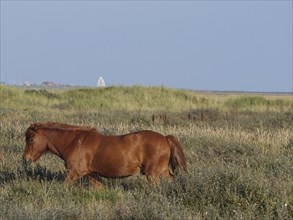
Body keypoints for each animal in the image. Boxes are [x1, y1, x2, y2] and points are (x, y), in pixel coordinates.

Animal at [23, 122, 187, 189]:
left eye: (30, 139)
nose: (25, 159)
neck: (75, 141)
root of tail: (165, 138)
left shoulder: (74, 173)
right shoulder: (91, 175)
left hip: (152, 174)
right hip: (162, 171)